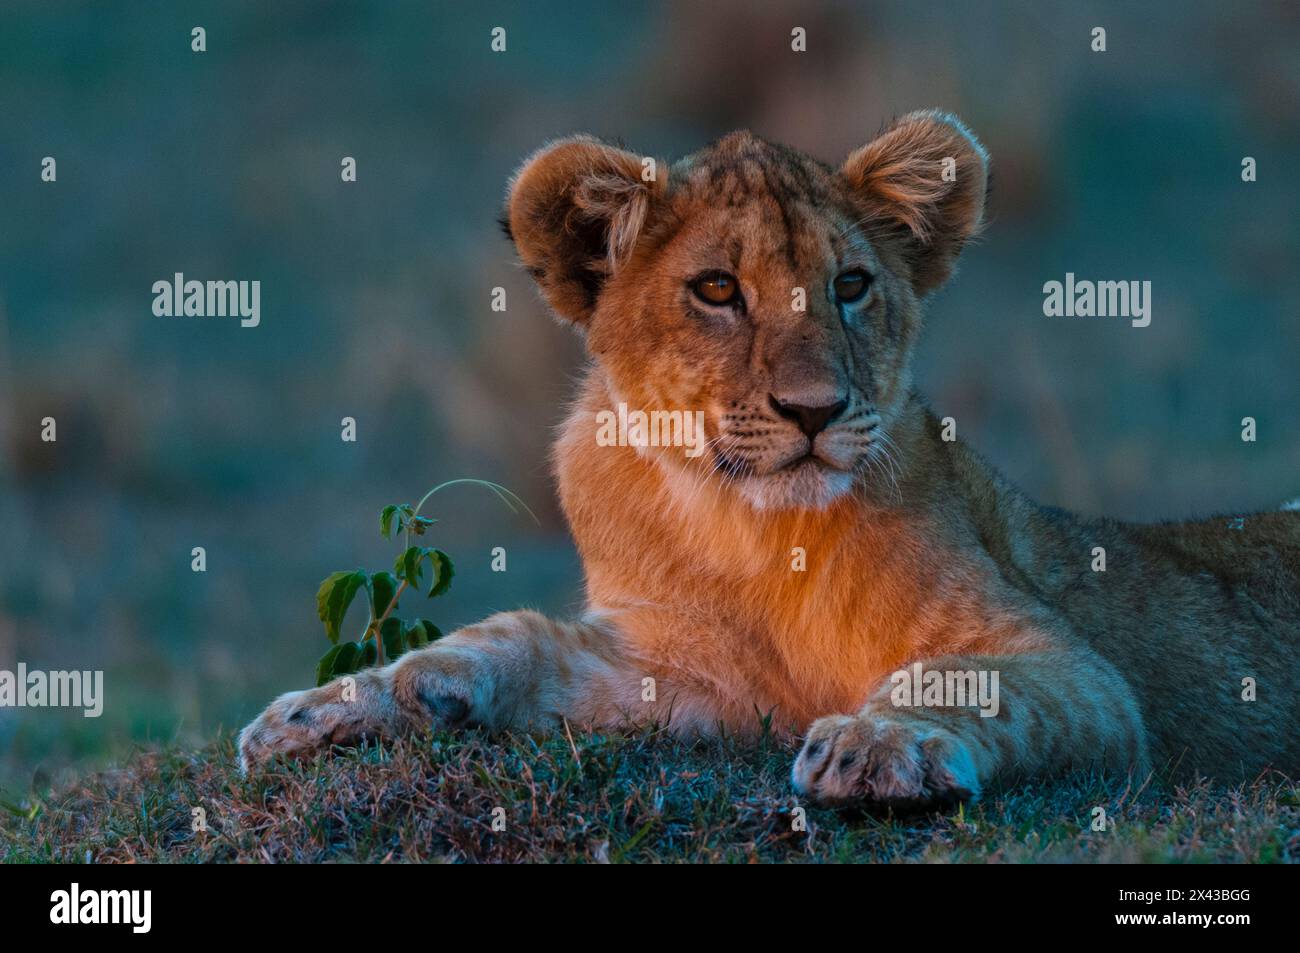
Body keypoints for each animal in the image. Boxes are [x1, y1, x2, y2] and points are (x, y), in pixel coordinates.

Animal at [240, 112, 1299, 809]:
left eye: (851, 285)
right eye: (718, 290)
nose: (814, 410)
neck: (752, 531)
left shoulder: (1080, 673)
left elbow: (958, 677)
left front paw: (874, 742)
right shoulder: (687, 672)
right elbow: (507, 638)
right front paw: (326, 707)